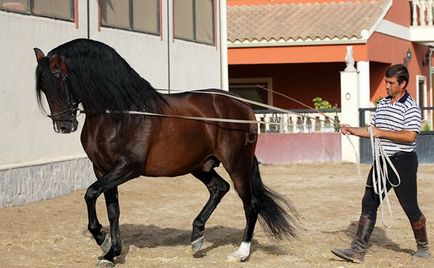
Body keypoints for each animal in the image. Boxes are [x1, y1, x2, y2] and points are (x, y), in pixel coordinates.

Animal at [33, 38, 302, 266]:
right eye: (43, 85)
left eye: (59, 77)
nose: (64, 126)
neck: (119, 114)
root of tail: (243, 106)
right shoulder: (102, 170)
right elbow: (112, 210)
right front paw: (110, 252)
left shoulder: (127, 168)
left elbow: (90, 194)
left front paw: (104, 240)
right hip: (201, 165)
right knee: (219, 188)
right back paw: (197, 237)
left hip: (237, 164)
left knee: (251, 203)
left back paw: (240, 253)